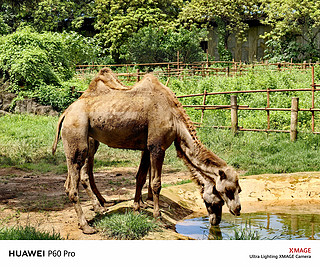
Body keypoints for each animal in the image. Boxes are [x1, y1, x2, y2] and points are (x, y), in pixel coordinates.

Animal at [53, 69, 241, 234]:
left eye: (239, 190)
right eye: (227, 191)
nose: (237, 209)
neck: (175, 119)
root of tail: (66, 113)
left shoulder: (146, 146)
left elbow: (141, 177)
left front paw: (137, 208)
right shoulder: (157, 147)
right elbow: (156, 183)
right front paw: (158, 218)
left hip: (83, 141)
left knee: (74, 178)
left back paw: (100, 207)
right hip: (78, 137)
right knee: (73, 184)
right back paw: (87, 225)